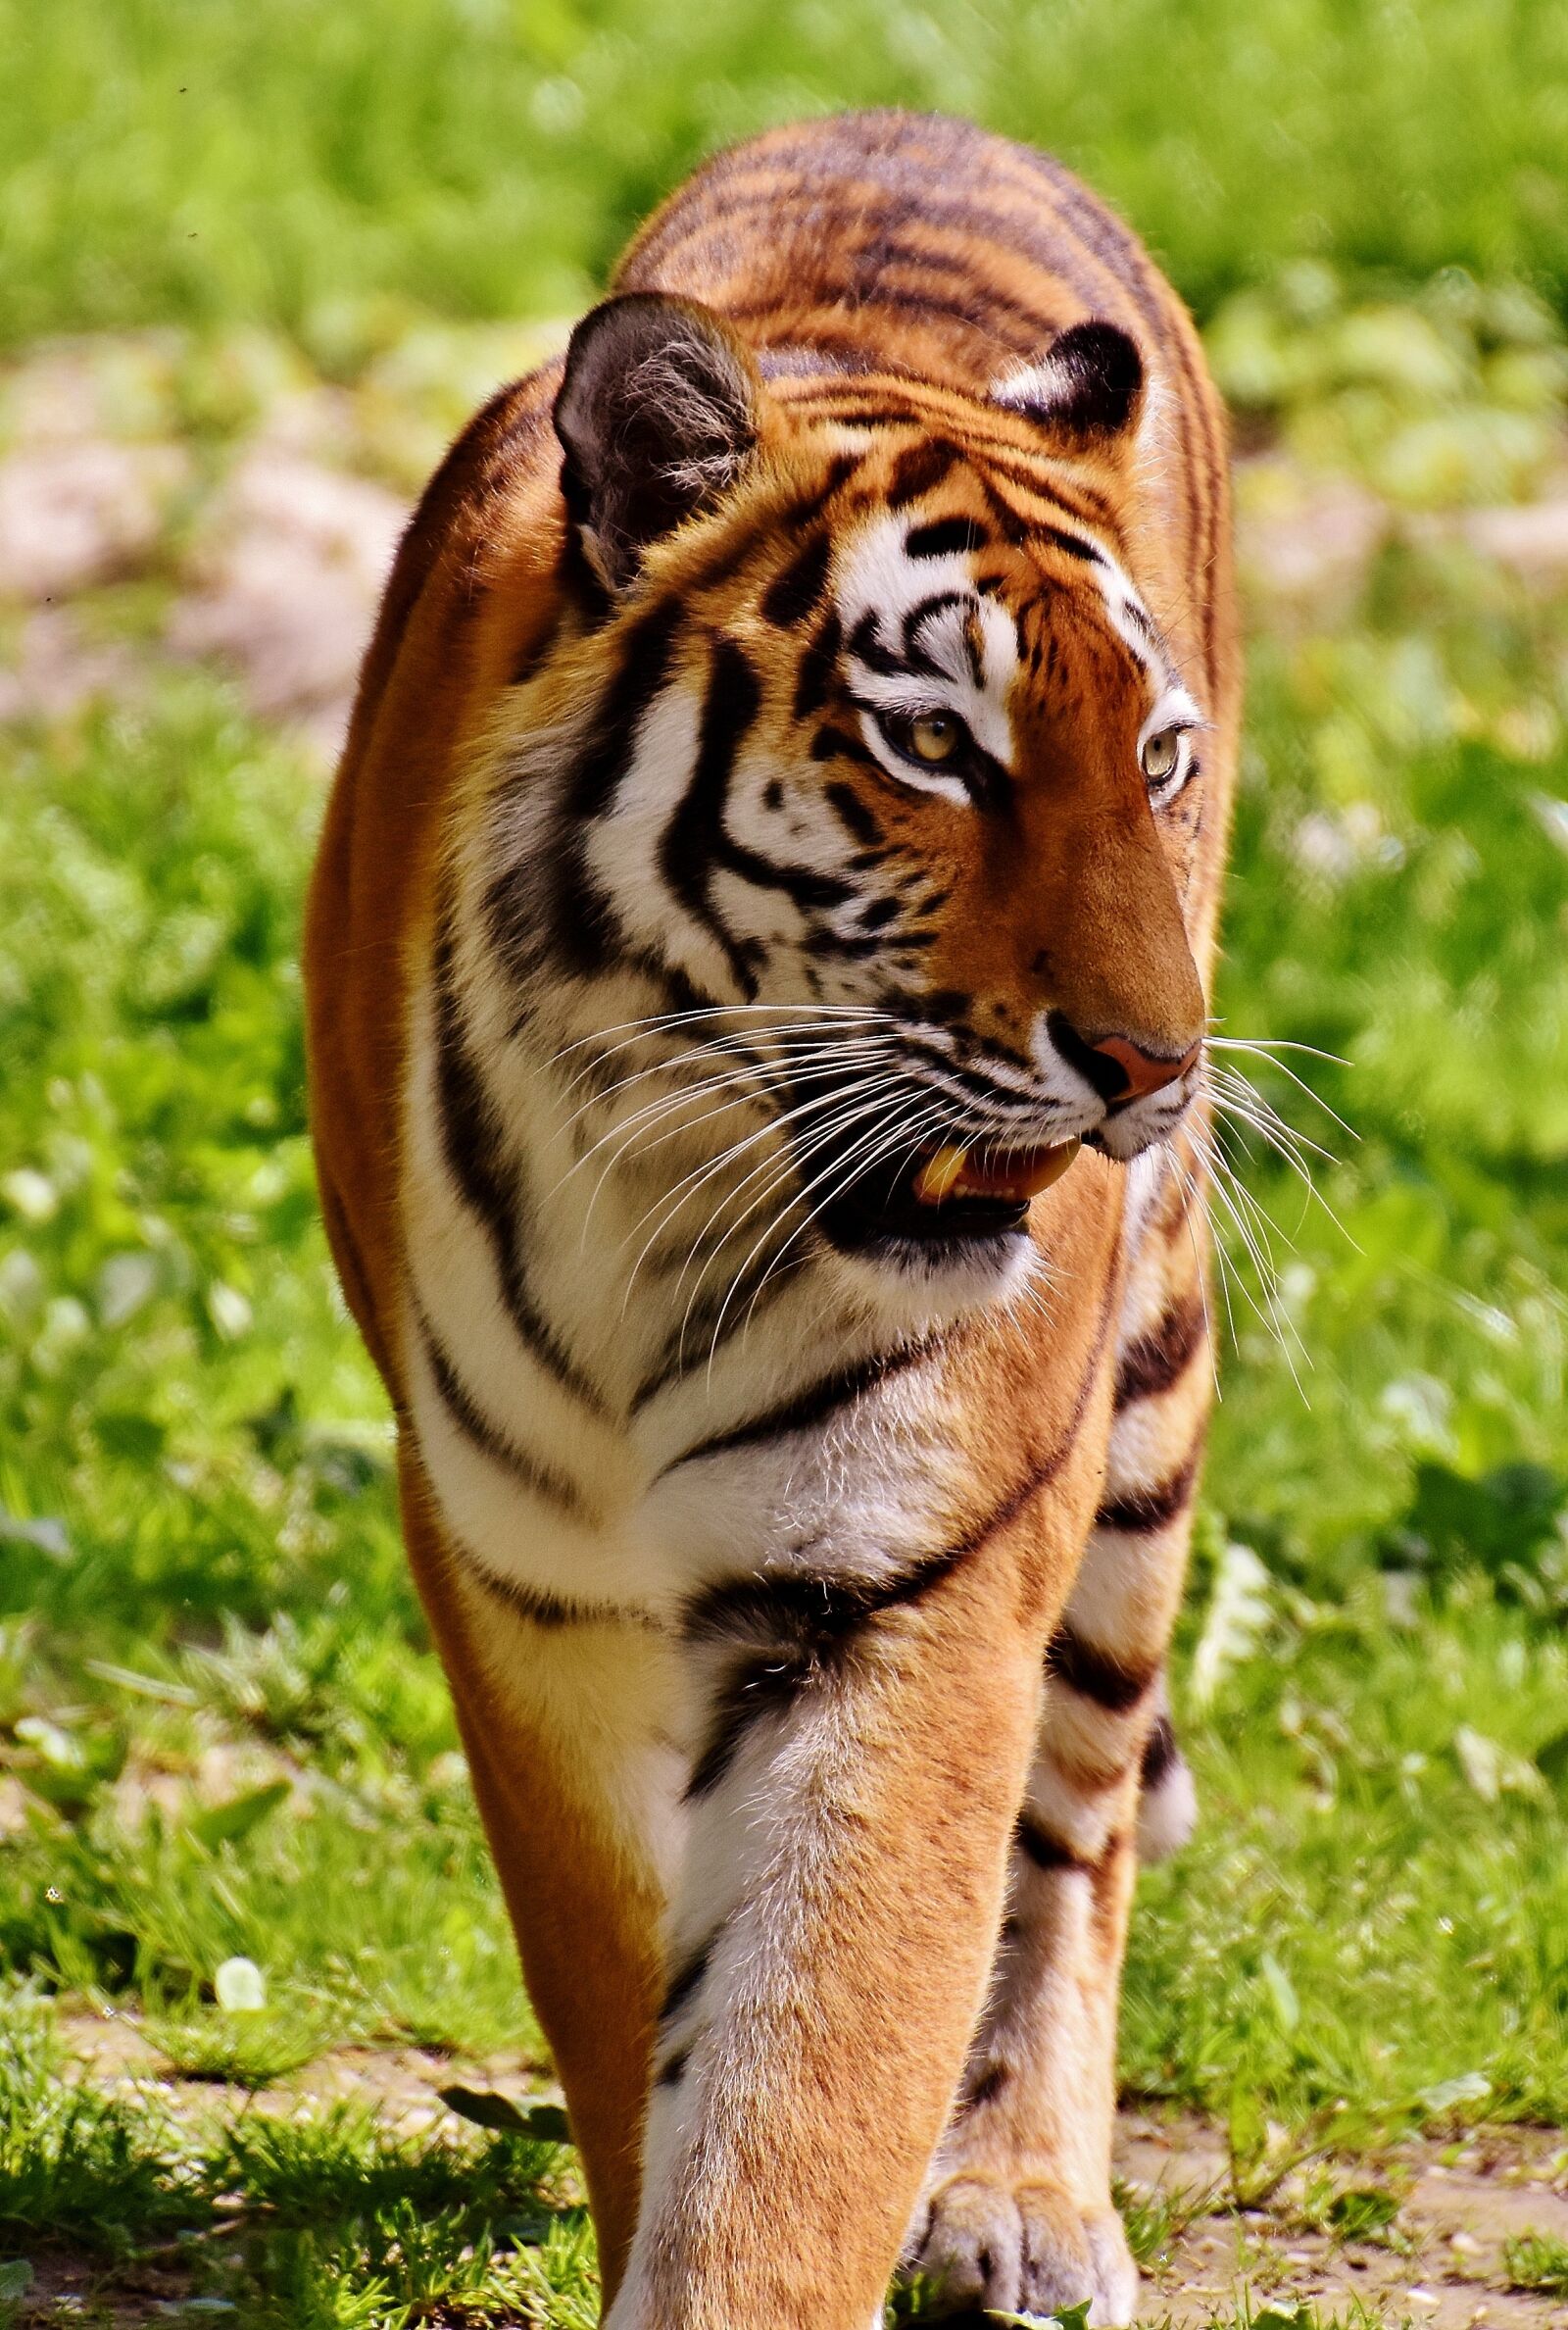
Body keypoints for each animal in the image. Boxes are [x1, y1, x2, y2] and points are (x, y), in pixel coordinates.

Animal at [305, 108, 1237, 2329]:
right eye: (936, 745)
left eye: (1153, 759)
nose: (1150, 1066)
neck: (671, 1195)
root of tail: (915, 117)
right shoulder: (522, 1576)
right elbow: (626, 1989)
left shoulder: (901, 1589)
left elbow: (806, 2087)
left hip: (1145, 1410)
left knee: (1076, 1829)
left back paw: (1025, 2195)